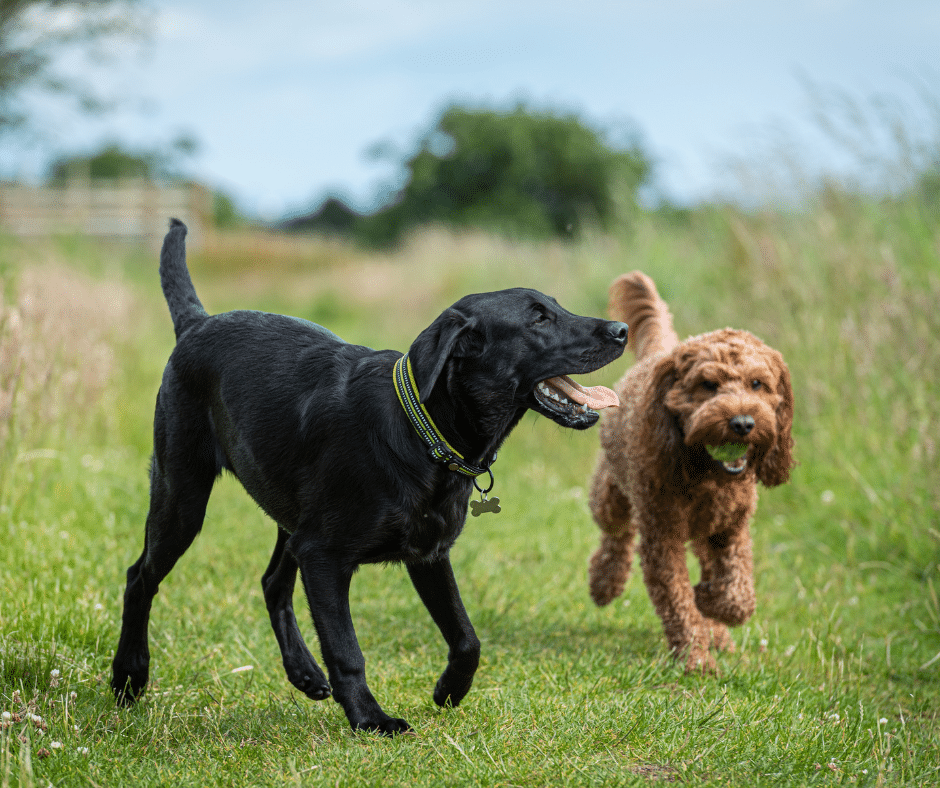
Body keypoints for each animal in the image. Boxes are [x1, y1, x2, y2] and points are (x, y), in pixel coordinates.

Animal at [114, 217, 628, 732]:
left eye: (557, 307)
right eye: (538, 319)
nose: (621, 328)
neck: (423, 432)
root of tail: (196, 323)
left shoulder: (428, 553)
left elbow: (467, 637)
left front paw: (448, 690)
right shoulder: (324, 556)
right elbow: (347, 650)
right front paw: (371, 719)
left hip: (289, 517)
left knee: (272, 583)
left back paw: (304, 673)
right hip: (182, 496)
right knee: (140, 577)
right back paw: (128, 677)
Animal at [588, 270, 792, 672]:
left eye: (758, 384)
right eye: (707, 385)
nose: (742, 423)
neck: (707, 475)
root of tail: (660, 352)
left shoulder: (731, 530)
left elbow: (738, 596)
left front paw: (711, 608)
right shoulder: (662, 538)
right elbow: (678, 600)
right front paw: (696, 657)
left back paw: (718, 633)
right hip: (611, 492)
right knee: (616, 533)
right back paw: (605, 583)